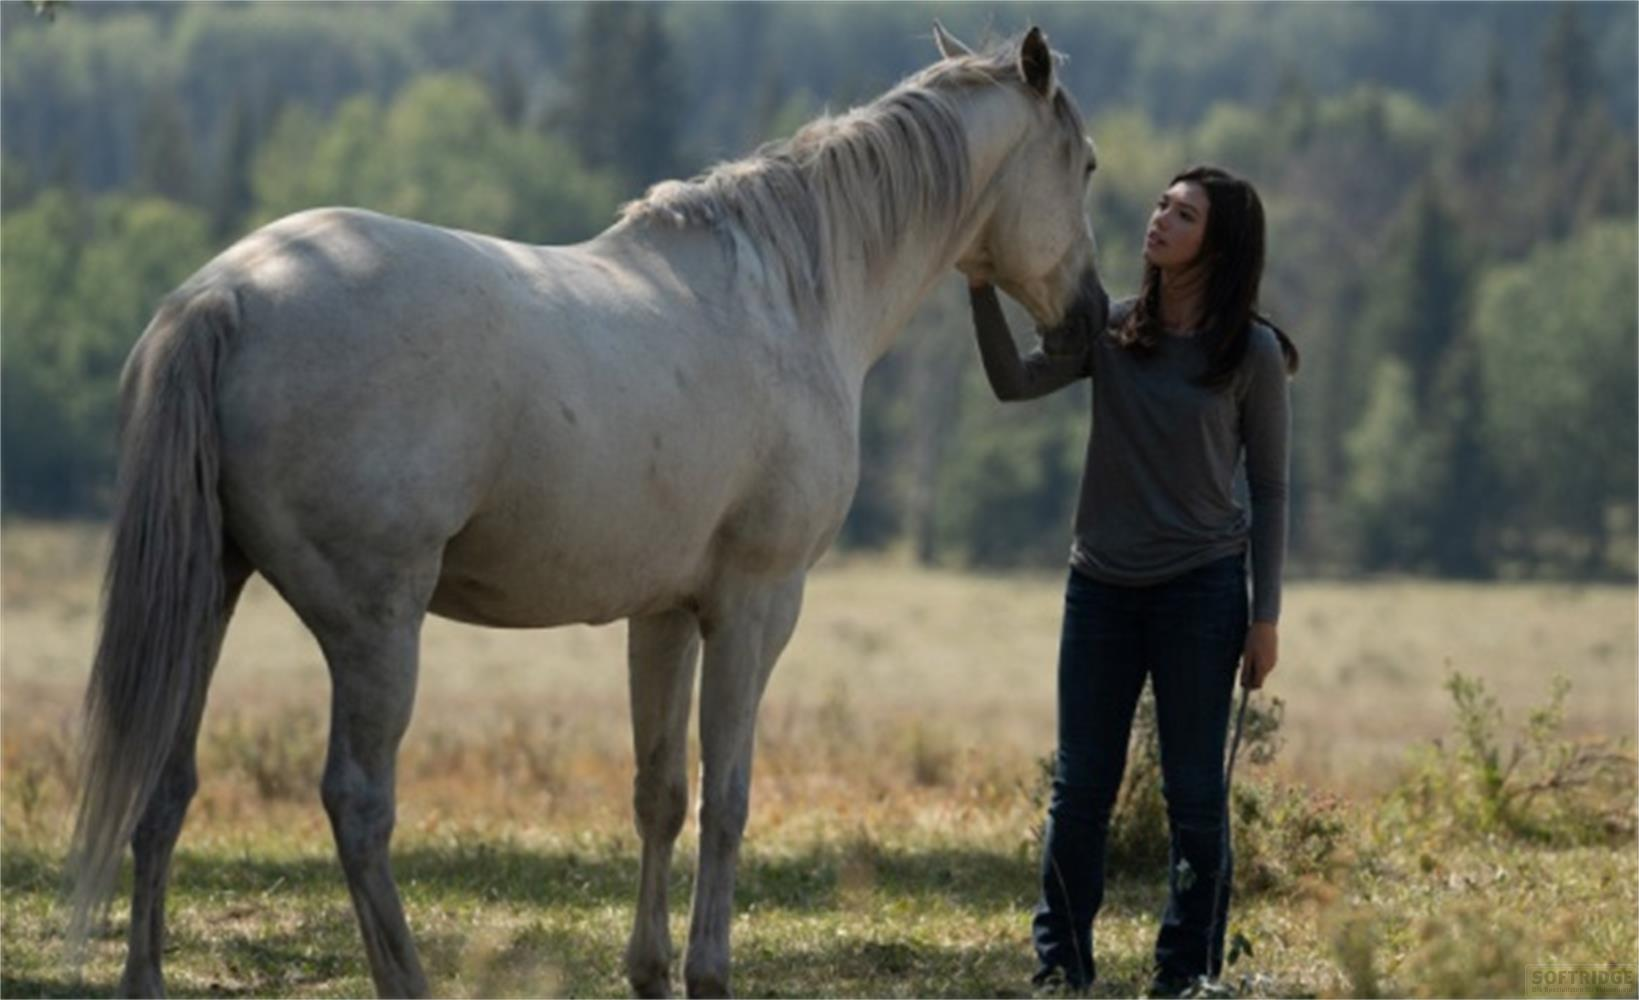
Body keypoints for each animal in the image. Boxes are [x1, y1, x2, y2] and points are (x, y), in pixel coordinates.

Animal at [67, 23, 1108, 998]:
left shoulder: (664, 615)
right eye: (1088, 164)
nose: (1090, 321)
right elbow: (728, 795)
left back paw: (146, 976)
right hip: (375, 627)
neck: (791, 296)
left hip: (209, 592)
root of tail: (225, 296)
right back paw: (406, 976)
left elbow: (661, 791)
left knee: (164, 781)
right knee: (357, 803)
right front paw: (708, 970)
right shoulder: (756, 607)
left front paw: (648, 969)